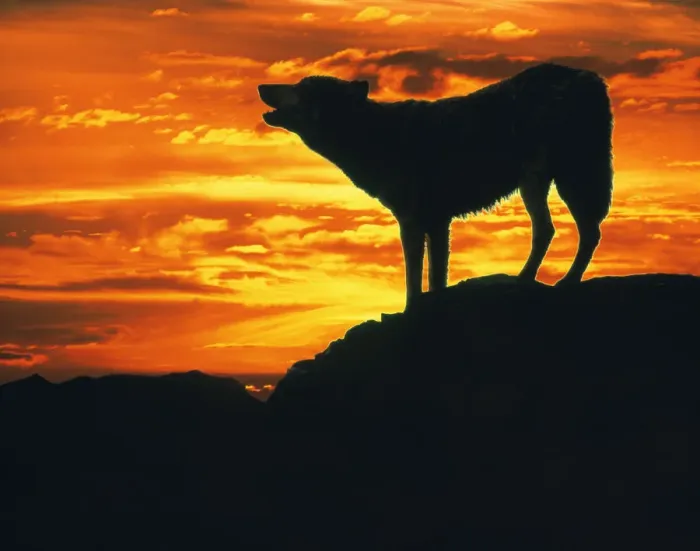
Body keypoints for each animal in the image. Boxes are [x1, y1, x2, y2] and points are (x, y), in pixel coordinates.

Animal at [259, 62, 614, 310]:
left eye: (300, 86)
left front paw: (413, 311)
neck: (375, 136)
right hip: (552, 182)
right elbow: (431, 278)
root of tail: (591, 77)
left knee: (565, 230)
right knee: (573, 230)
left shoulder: (418, 222)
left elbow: (419, 279)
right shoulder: (431, 222)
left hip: (552, 181)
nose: (261, 84)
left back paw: (548, 281)